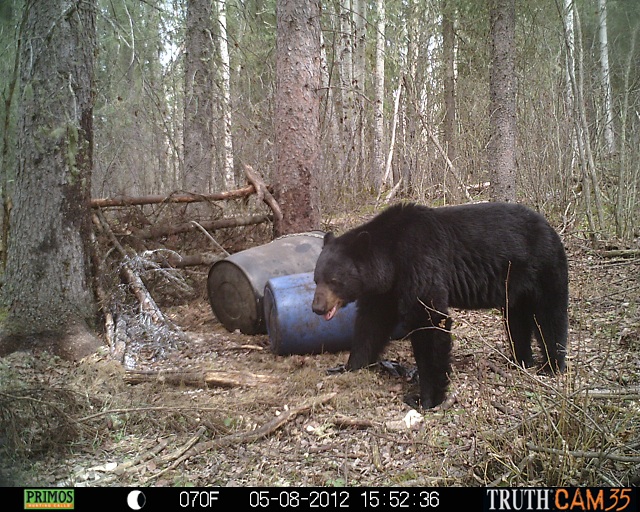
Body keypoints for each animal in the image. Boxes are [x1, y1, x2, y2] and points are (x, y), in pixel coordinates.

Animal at [312, 202, 568, 410]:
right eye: (316, 279)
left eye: (334, 280)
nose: (317, 308)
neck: (391, 257)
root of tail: (550, 227)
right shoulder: (387, 289)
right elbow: (372, 323)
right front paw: (349, 366)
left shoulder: (420, 263)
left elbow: (429, 322)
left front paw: (426, 398)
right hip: (514, 286)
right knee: (517, 319)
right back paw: (520, 360)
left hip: (543, 267)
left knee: (550, 316)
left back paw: (551, 365)